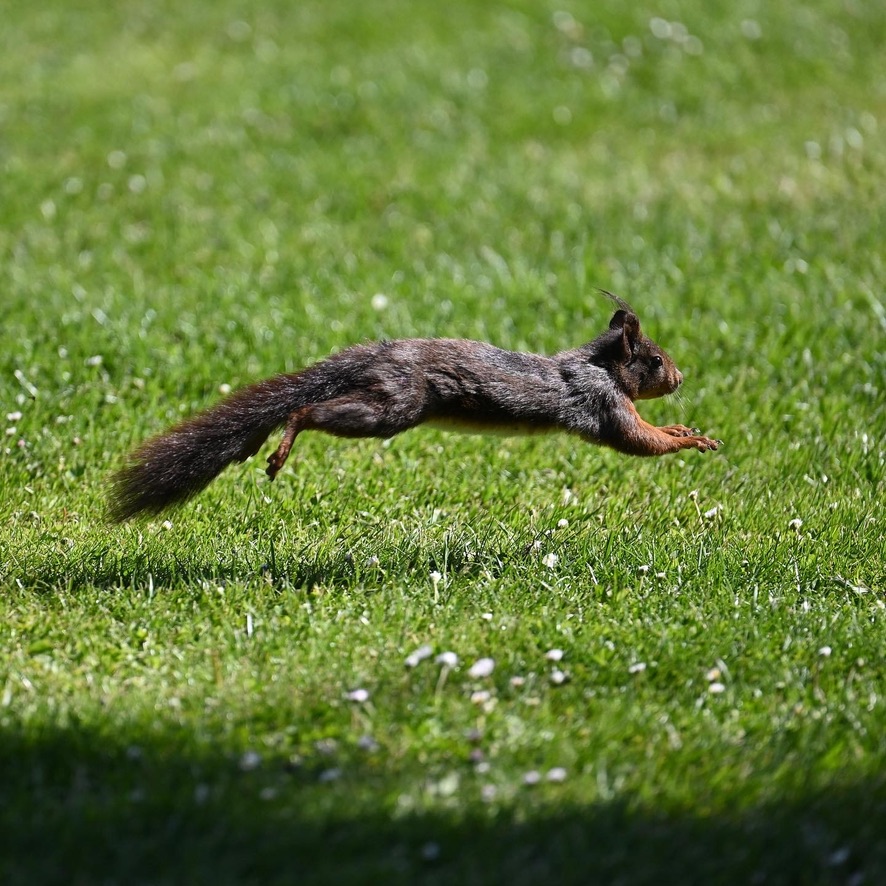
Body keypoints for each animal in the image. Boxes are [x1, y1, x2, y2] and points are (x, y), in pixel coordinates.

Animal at [109, 298, 720, 520]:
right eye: (656, 360)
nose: (681, 377)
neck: (599, 365)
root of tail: (378, 354)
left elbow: (647, 432)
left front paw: (681, 426)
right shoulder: (602, 403)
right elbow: (636, 440)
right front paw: (692, 439)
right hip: (395, 407)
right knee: (310, 412)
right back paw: (282, 445)